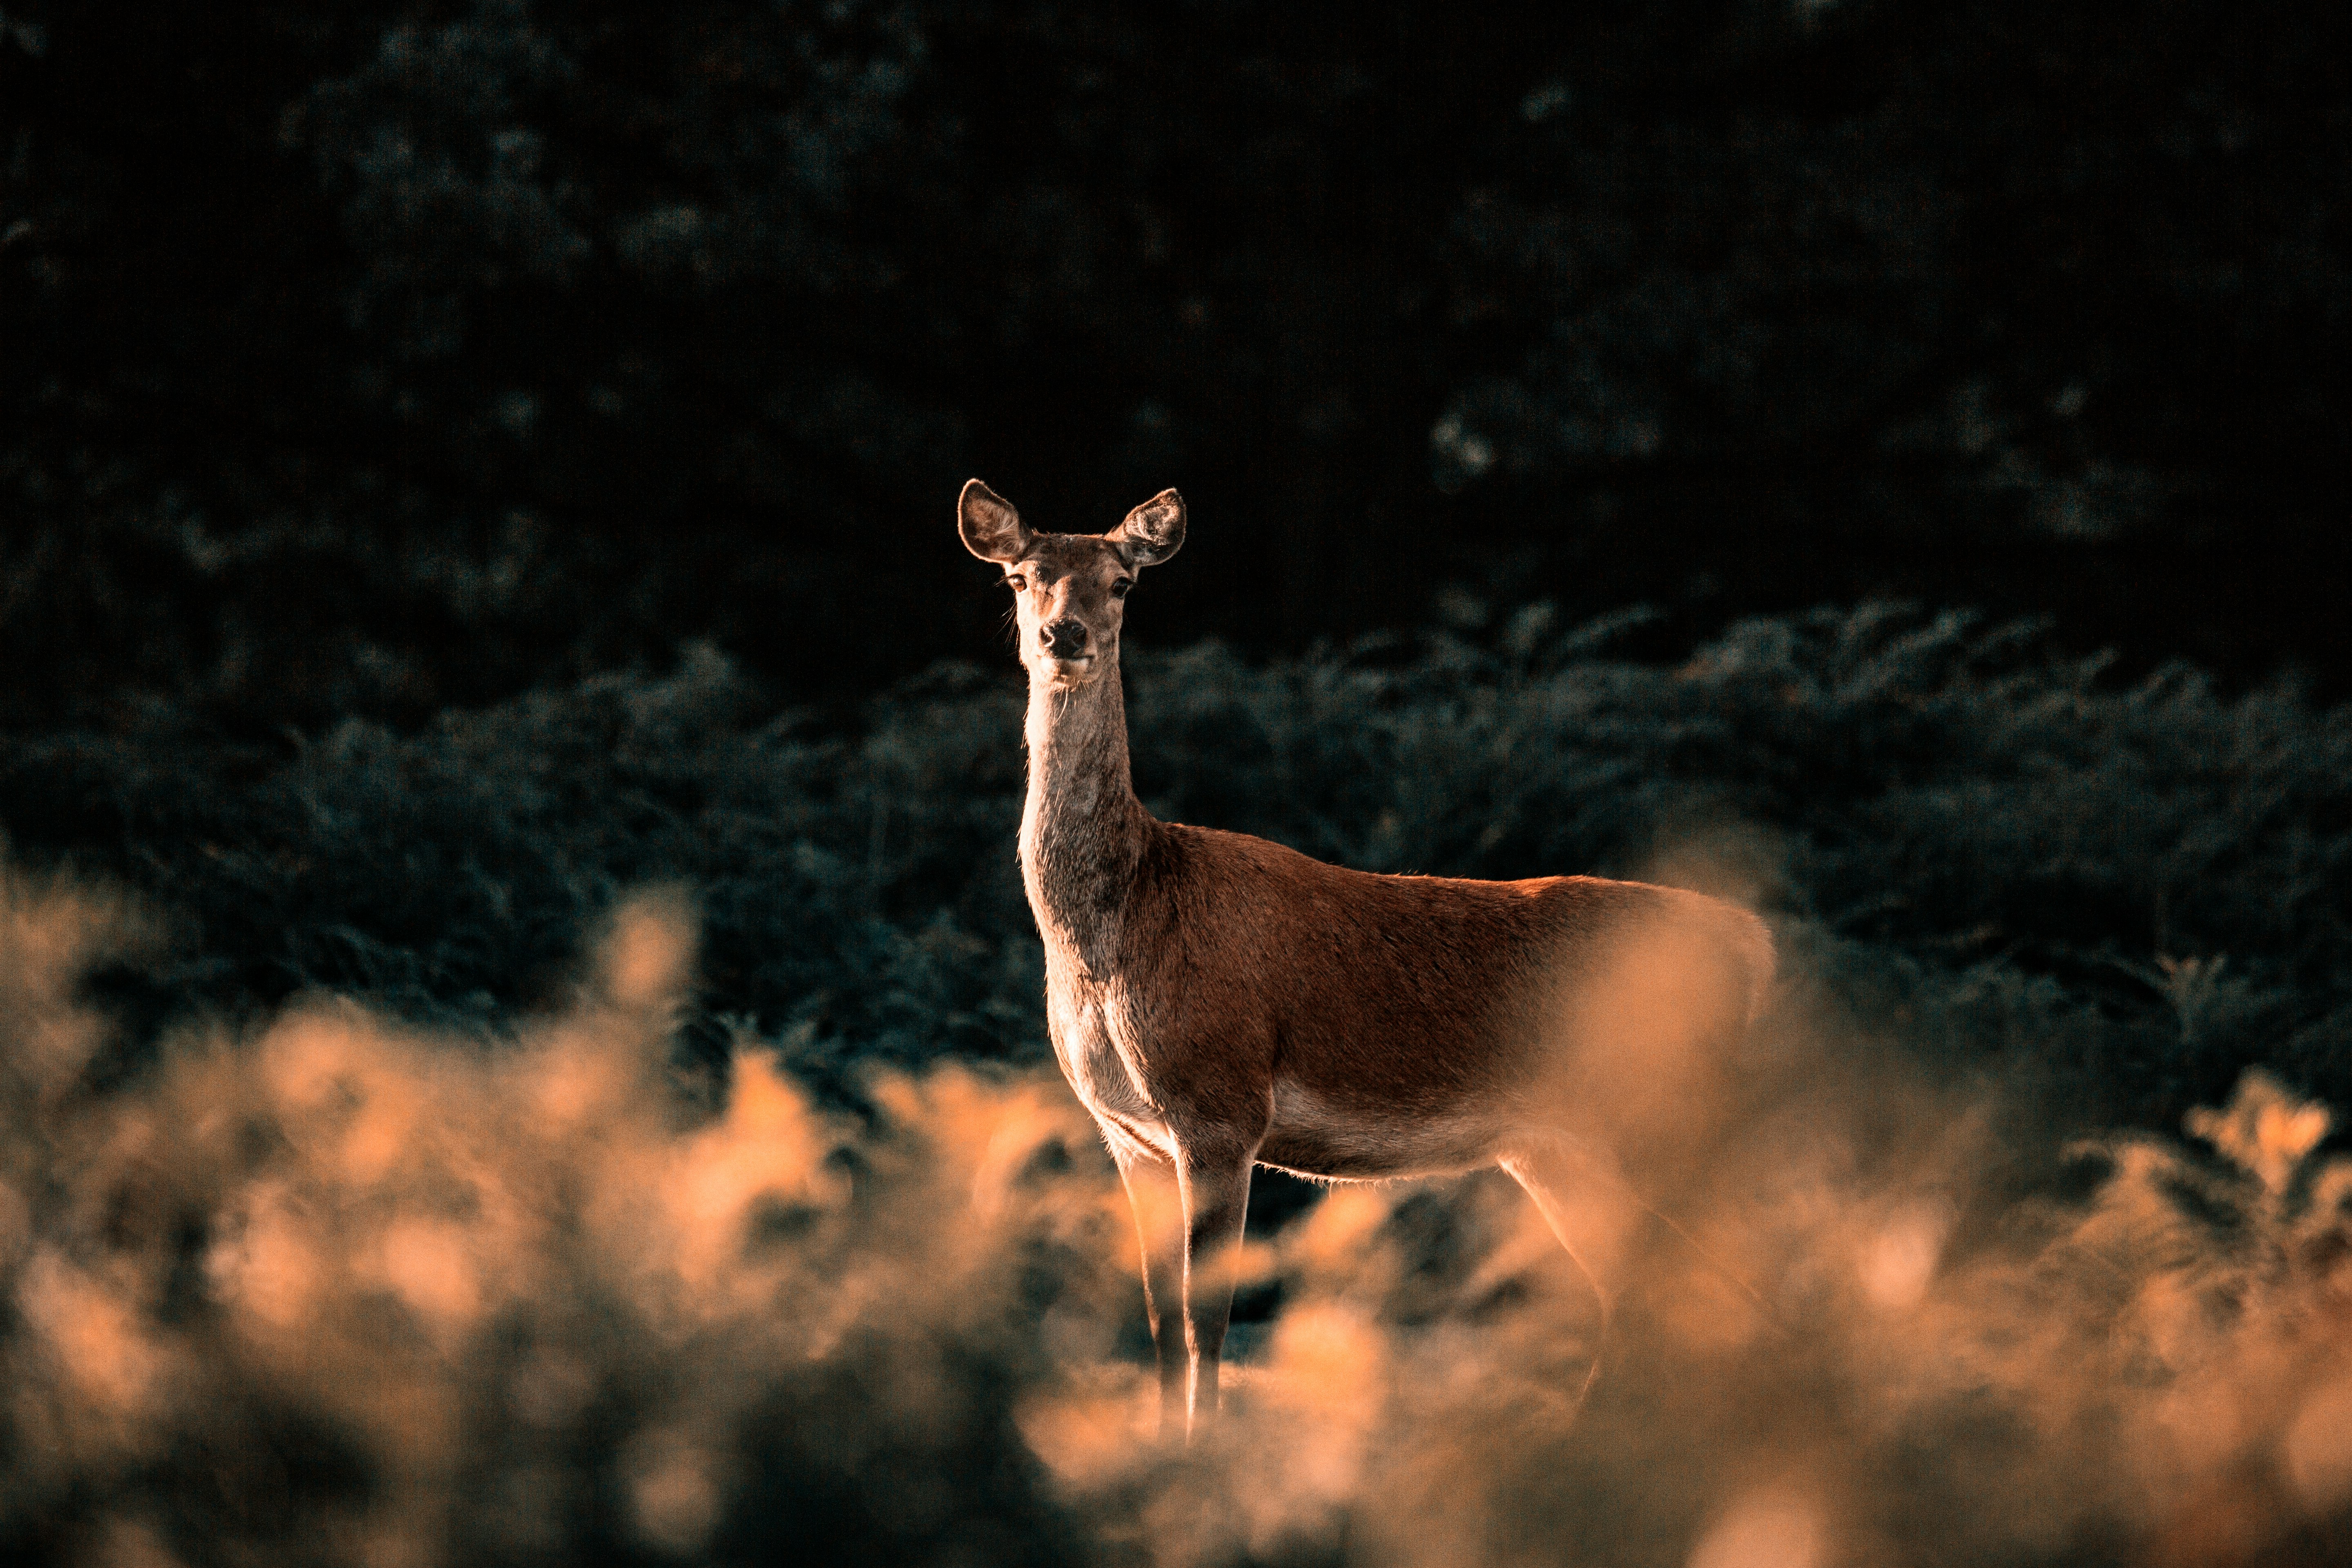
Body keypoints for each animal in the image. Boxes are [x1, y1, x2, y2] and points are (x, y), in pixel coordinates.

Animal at [950, 482, 1768, 1448]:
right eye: (1021, 576)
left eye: (1122, 582)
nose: (1063, 634)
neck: (1117, 929)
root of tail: (1753, 942)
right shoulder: (1127, 1132)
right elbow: (1155, 1318)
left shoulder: (1221, 1104)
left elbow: (1205, 1316)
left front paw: (1202, 1457)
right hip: (1558, 1146)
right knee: (1647, 1288)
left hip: (1651, 1114)